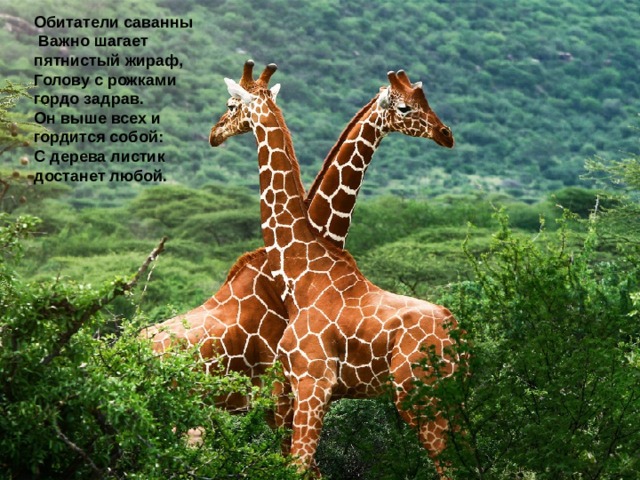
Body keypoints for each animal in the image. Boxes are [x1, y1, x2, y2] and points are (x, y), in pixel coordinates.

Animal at [212, 60, 459, 478]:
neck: (304, 266)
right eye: (406, 107)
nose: (447, 135)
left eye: (231, 105)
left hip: (421, 398)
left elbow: (299, 466)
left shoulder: (310, 383)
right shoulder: (295, 389)